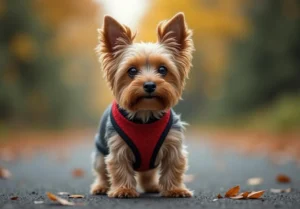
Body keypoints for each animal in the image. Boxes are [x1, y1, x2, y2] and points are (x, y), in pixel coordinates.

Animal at [90, 12, 195, 198]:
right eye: (132, 71)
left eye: (163, 69)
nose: (150, 85)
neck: (145, 113)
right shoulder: (117, 147)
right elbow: (119, 168)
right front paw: (123, 190)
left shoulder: (173, 144)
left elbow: (174, 167)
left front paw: (175, 189)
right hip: (100, 150)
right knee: (102, 170)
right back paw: (101, 187)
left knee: (148, 174)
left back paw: (152, 186)